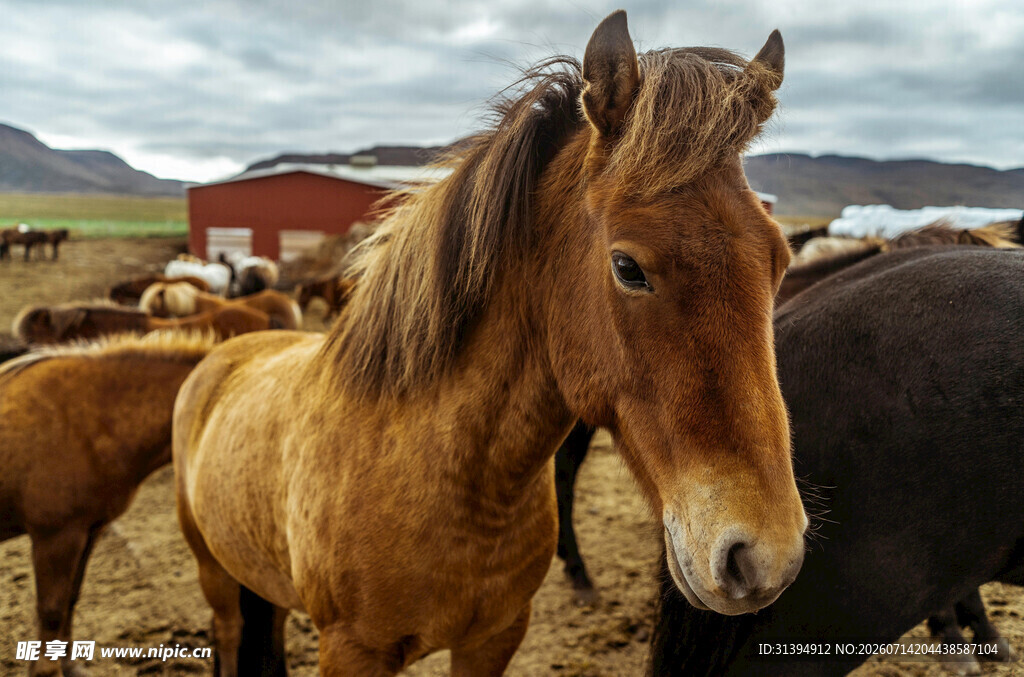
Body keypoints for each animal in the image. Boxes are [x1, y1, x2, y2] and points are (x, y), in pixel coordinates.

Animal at [0, 332, 216, 677]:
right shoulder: (55, 537)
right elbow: (50, 608)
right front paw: (46, 671)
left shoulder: (88, 531)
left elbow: (70, 599)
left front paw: (70, 666)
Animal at [173, 12, 806, 676]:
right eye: (628, 267)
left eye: (779, 259)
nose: (763, 557)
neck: (456, 484)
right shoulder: (353, 650)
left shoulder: (494, 638)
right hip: (212, 571)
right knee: (226, 632)